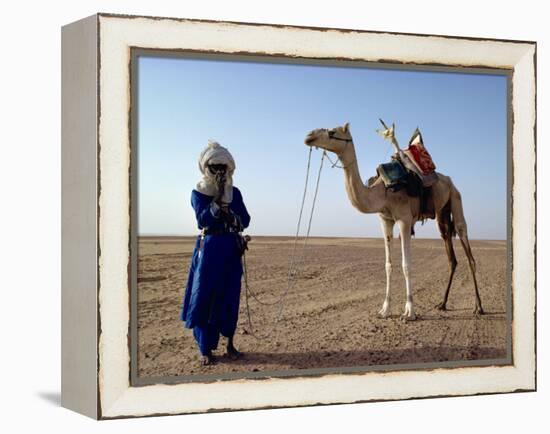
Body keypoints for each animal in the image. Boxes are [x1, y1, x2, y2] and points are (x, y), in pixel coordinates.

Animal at [304, 124, 486, 320]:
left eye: (332, 132)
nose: (309, 136)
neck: (382, 192)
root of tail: (449, 180)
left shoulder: (404, 219)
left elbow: (406, 265)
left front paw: (409, 312)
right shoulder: (385, 221)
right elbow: (388, 265)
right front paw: (384, 310)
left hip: (456, 198)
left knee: (467, 247)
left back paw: (478, 307)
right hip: (443, 213)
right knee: (451, 255)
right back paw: (443, 304)